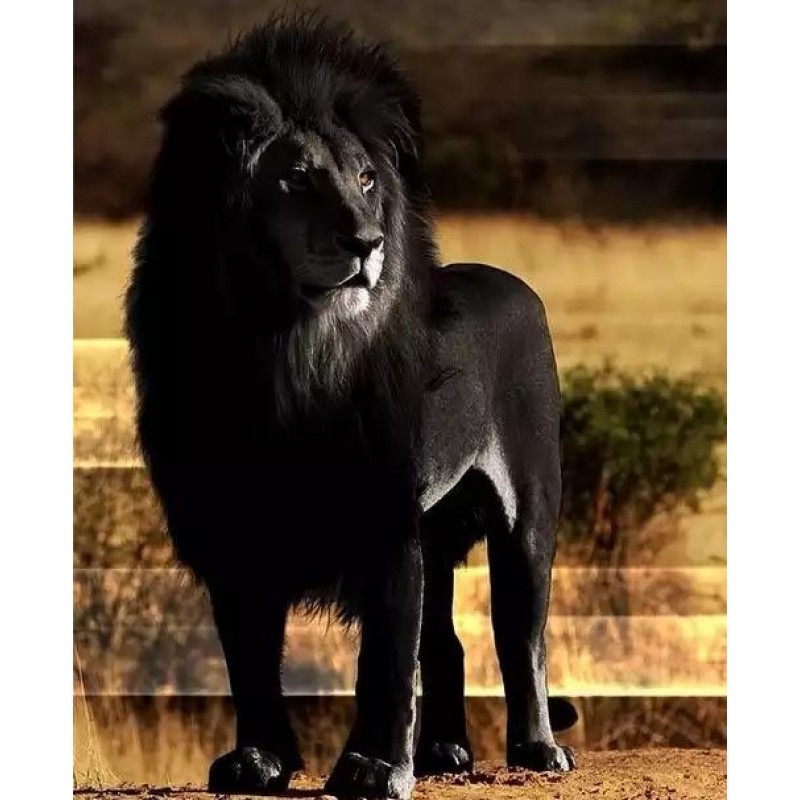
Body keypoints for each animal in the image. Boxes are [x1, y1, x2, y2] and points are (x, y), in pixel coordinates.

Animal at [125, 15, 576, 800]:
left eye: (367, 179)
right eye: (296, 178)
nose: (367, 242)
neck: (282, 347)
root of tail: (512, 281)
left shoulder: (385, 517)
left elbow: (385, 660)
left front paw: (372, 769)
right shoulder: (229, 525)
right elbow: (249, 659)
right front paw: (260, 761)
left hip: (527, 512)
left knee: (522, 636)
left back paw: (536, 750)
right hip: (437, 529)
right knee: (448, 644)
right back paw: (445, 753)